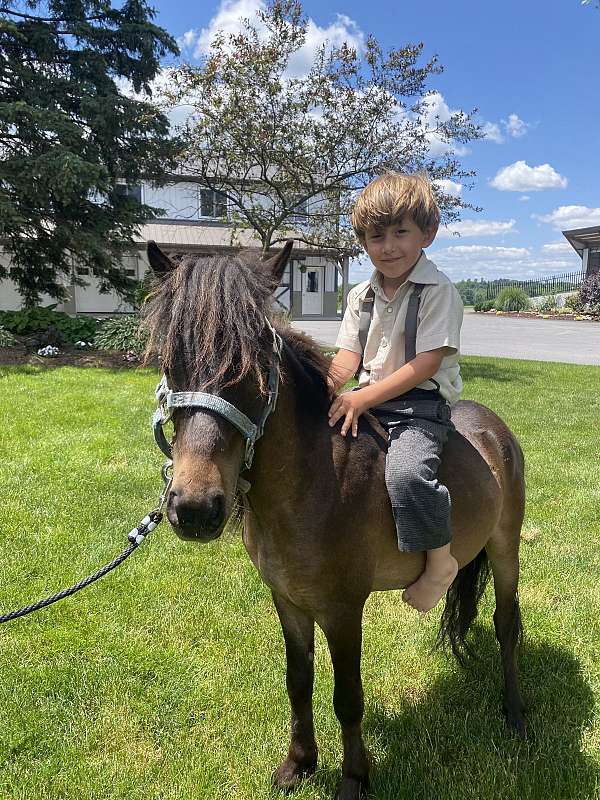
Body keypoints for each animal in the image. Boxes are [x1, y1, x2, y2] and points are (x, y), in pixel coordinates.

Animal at [142, 241, 524, 800]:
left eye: (253, 369)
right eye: (171, 363)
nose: (194, 508)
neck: (313, 484)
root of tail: (495, 428)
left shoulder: (343, 608)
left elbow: (347, 694)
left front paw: (354, 777)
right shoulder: (288, 600)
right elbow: (298, 681)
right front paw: (299, 763)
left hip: (504, 546)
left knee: (506, 624)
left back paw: (515, 714)